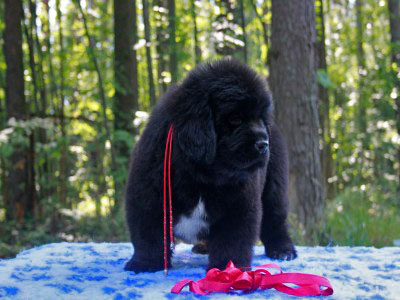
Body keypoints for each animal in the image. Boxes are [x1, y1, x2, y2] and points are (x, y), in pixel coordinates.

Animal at [125, 58, 296, 274]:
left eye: (261, 119)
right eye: (235, 119)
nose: (264, 144)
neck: (201, 175)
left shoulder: (239, 204)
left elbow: (232, 240)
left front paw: (228, 269)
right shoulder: (148, 195)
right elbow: (148, 234)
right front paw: (145, 264)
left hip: (275, 186)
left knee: (275, 219)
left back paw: (283, 250)